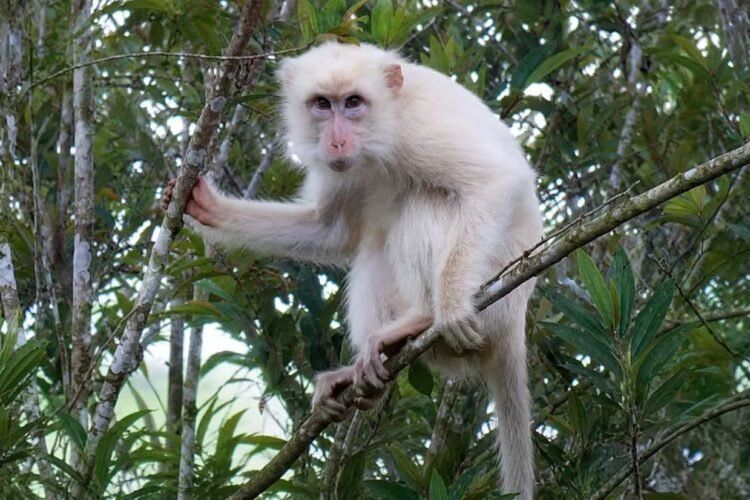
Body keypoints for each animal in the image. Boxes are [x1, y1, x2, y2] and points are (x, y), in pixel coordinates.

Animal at [162, 42, 543, 499]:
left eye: (354, 103)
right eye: (322, 105)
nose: (337, 140)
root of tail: (514, 326)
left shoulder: (417, 130)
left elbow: (496, 181)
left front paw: (449, 309)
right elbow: (330, 231)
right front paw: (208, 208)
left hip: (493, 295)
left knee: (426, 201)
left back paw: (422, 318)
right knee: (373, 248)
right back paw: (366, 372)